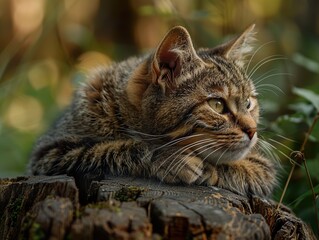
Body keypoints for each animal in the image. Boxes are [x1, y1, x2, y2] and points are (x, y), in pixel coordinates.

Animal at [28, 24, 278, 197]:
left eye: (249, 103)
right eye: (217, 105)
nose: (253, 130)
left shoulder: (261, 165)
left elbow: (252, 168)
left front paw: (209, 168)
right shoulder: (49, 153)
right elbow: (109, 149)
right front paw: (169, 158)